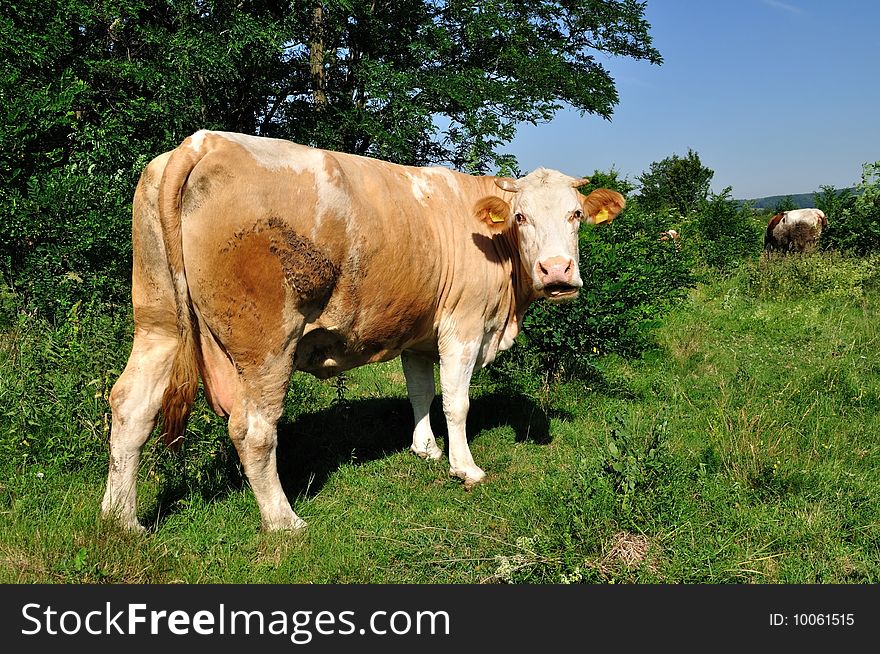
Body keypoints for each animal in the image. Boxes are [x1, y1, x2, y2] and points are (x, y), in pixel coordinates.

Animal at [101, 131, 624, 536]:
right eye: (520, 217)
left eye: (576, 215)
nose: (557, 271)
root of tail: (203, 143)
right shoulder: (464, 325)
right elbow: (456, 402)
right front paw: (465, 467)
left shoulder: (418, 331)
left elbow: (420, 392)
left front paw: (425, 449)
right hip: (267, 340)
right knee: (254, 429)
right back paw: (283, 521)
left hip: (159, 319)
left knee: (132, 405)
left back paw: (121, 519)